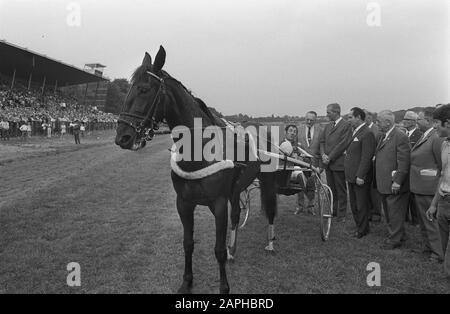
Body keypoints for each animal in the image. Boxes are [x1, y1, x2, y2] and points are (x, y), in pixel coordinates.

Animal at [114, 46, 280, 294]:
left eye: (143, 89)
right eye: (129, 90)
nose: (123, 137)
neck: (200, 151)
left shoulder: (218, 204)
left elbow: (217, 250)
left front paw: (224, 287)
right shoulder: (184, 203)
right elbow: (188, 243)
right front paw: (187, 281)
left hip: (267, 181)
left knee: (270, 210)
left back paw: (269, 243)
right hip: (236, 188)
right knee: (236, 215)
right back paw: (233, 249)